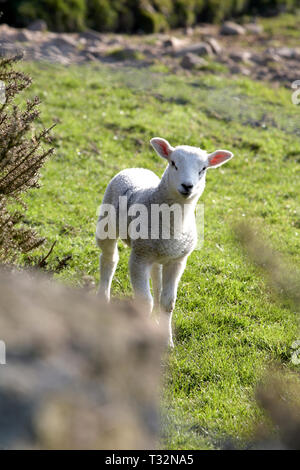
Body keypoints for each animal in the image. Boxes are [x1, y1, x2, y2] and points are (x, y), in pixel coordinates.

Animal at [95, 138, 233, 346]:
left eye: (203, 169)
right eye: (173, 163)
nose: (187, 186)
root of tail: (136, 168)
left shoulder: (177, 260)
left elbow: (168, 303)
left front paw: (167, 341)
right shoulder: (139, 257)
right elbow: (145, 302)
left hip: (158, 253)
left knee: (156, 280)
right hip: (107, 225)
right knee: (109, 259)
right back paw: (103, 298)